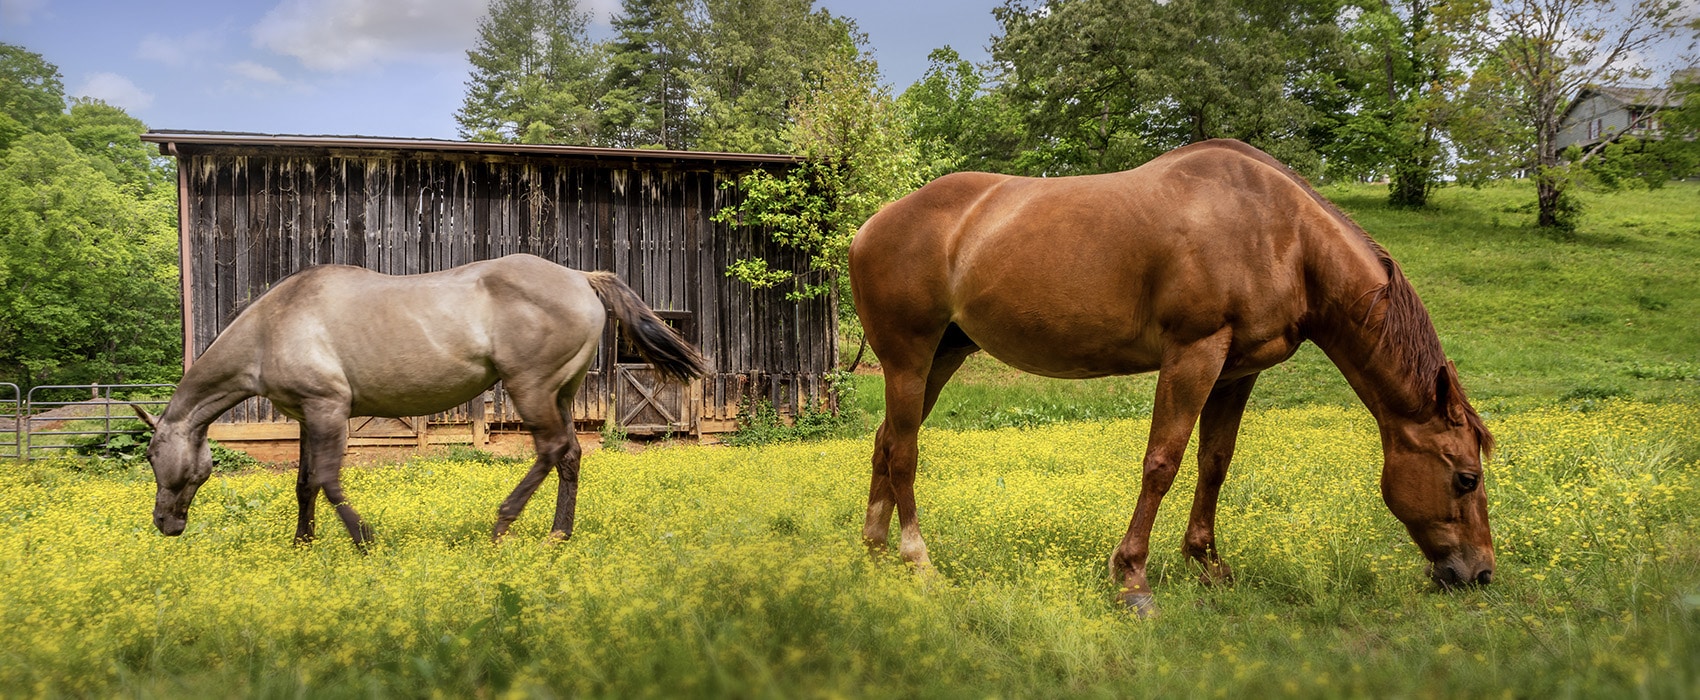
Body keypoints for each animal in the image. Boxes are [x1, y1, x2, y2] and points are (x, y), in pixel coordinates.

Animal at [132, 254, 707, 548]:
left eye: (152, 456)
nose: (165, 523)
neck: (273, 325)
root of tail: (581, 278)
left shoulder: (328, 410)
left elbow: (327, 480)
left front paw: (365, 539)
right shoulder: (306, 416)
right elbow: (303, 484)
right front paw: (302, 544)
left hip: (532, 389)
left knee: (549, 452)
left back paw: (501, 525)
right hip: (562, 393)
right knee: (570, 456)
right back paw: (557, 536)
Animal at [849, 139, 1495, 615]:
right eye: (1466, 478)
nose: (1480, 573)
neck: (1281, 234)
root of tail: (868, 227)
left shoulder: (1236, 372)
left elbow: (1214, 463)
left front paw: (1206, 563)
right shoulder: (1193, 353)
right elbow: (1163, 462)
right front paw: (1132, 579)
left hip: (943, 357)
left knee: (885, 442)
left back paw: (874, 554)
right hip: (908, 359)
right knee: (903, 452)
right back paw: (916, 560)